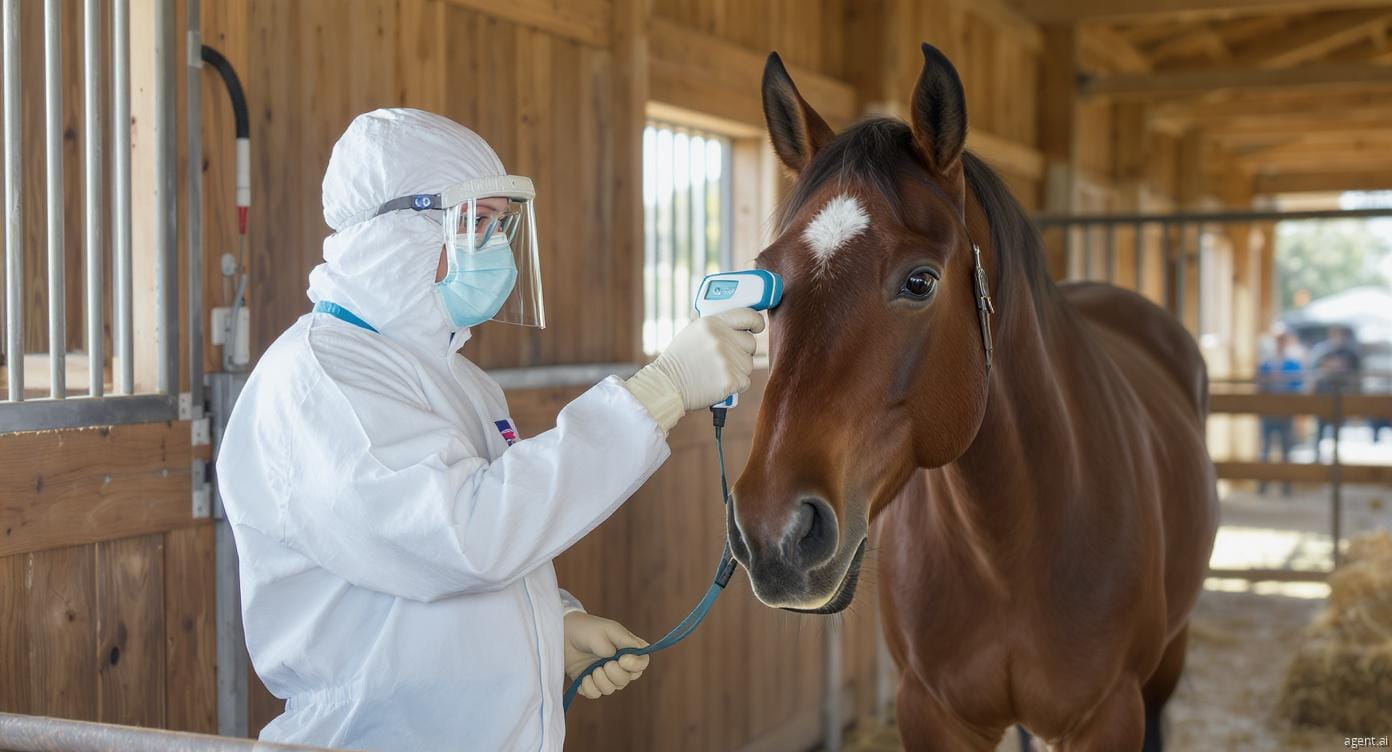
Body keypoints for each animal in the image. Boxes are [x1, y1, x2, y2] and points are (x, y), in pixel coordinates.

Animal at [727, 44, 1219, 751]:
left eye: (920, 281)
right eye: (769, 278)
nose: (773, 532)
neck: (1008, 545)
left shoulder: (1108, 716)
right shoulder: (931, 713)